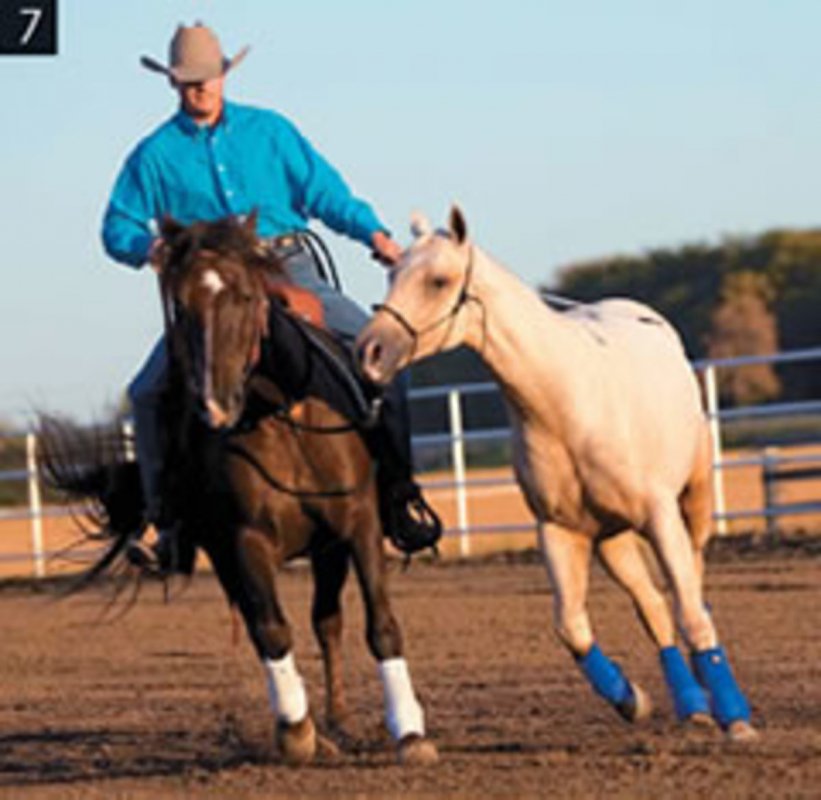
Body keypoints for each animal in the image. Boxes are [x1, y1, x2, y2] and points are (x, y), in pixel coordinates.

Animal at [38, 216, 436, 764]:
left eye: (247, 296)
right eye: (181, 306)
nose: (215, 404)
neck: (279, 409)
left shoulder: (358, 523)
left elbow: (380, 624)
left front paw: (410, 732)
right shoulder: (243, 539)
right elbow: (270, 629)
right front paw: (296, 732)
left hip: (328, 548)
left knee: (327, 622)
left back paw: (340, 720)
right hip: (226, 553)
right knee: (266, 624)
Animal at [356, 208, 752, 744]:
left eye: (438, 280)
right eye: (393, 274)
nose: (369, 351)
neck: (567, 403)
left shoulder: (659, 516)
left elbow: (691, 613)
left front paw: (738, 720)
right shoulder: (560, 531)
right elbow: (571, 627)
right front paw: (632, 700)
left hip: (694, 504)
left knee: (691, 592)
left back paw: (712, 698)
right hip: (611, 539)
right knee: (651, 605)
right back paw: (691, 704)